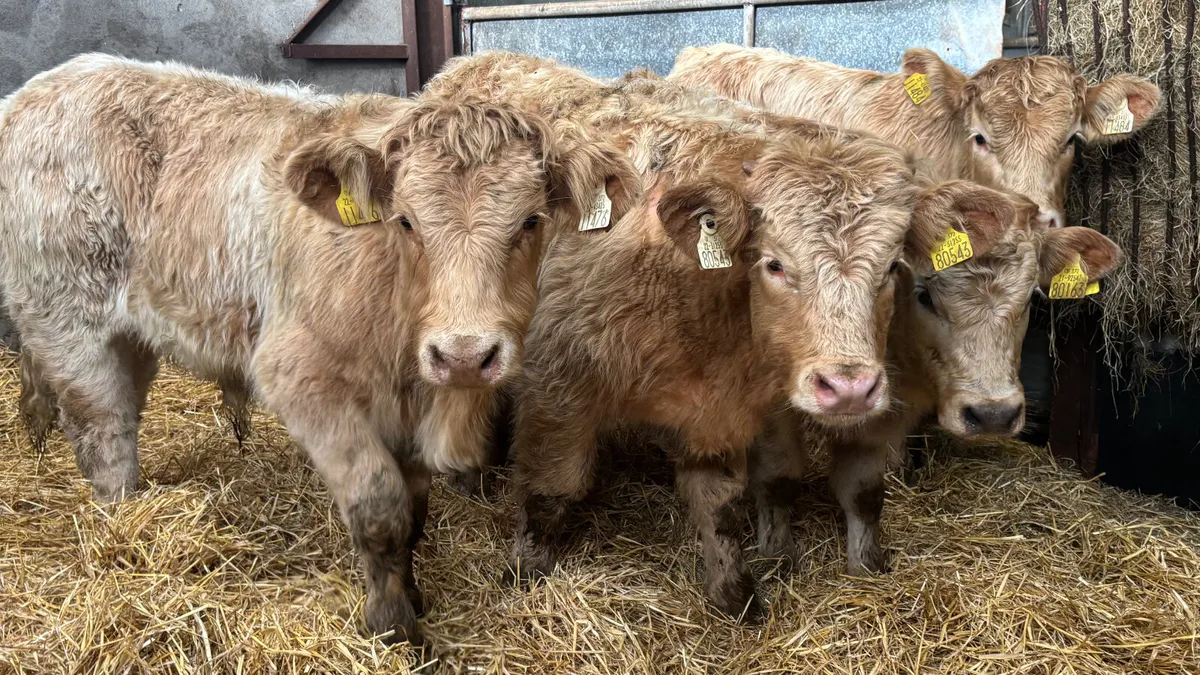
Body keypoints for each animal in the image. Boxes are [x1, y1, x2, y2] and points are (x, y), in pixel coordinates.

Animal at [0, 54, 639, 644]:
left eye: (530, 221)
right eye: (405, 222)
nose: (464, 355)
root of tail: (47, 83)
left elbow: (415, 513)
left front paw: (412, 595)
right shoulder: (300, 378)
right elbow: (380, 509)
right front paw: (393, 625)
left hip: (131, 334)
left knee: (123, 412)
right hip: (67, 318)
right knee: (100, 429)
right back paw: (123, 518)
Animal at [426, 52, 1029, 617]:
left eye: (891, 270)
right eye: (775, 264)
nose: (849, 388)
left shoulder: (719, 412)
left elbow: (718, 504)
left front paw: (733, 590)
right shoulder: (559, 388)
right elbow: (551, 492)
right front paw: (525, 572)